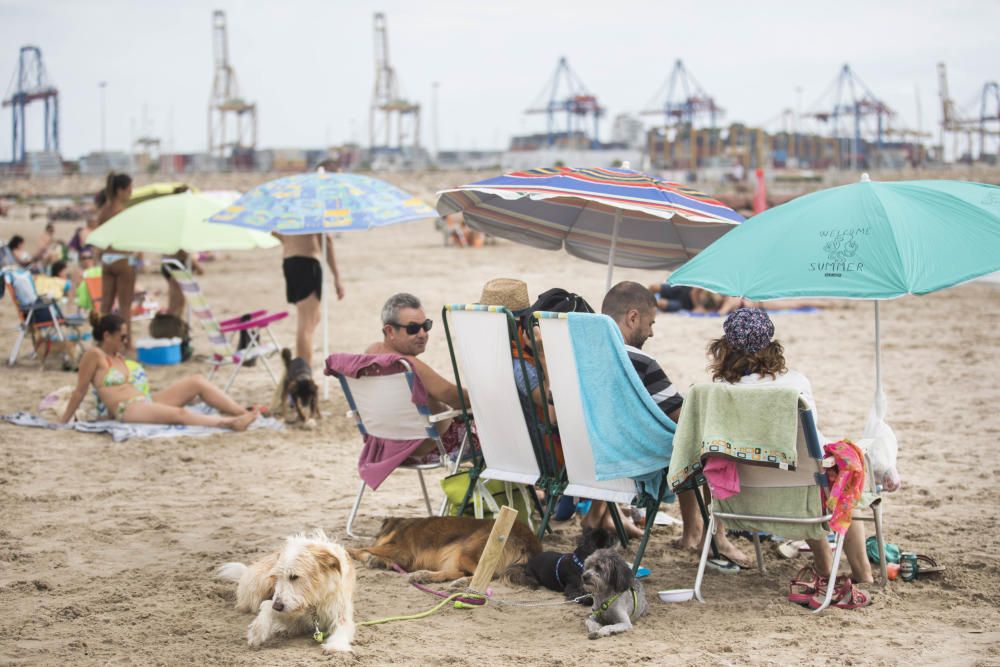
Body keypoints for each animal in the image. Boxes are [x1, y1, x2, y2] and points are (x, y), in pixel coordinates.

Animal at [218, 528, 356, 656]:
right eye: (277, 577)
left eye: (294, 576)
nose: (278, 606)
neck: (313, 600)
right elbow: (267, 606)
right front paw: (257, 631)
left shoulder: (340, 610)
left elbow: (343, 626)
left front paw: (336, 645)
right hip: (259, 583)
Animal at [348, 516, 544, 584]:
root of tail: (530, 540)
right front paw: (376, 560)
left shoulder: (402, 551)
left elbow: (360, 547)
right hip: (456, 557)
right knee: (458, 572)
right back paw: (425, 576)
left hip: (468, 550)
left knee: (488, 576)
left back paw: (460, 583)